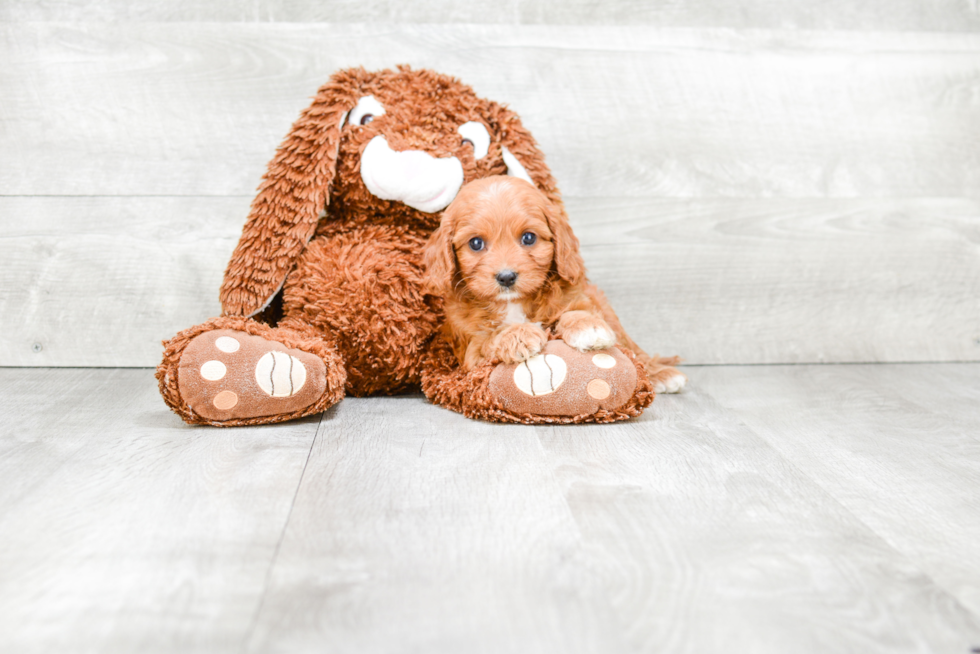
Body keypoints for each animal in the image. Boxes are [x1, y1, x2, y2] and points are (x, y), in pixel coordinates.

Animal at [424, 176, 688, 394]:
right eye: (475, 243)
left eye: (528, 237)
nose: (506, 277)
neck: (513, 303)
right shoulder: (471, 352)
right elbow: (492, 337)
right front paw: (518, 334)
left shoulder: (577, 297)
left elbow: (575, 311)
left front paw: (588, 327)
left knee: (632, 347)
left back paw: (661, 374)